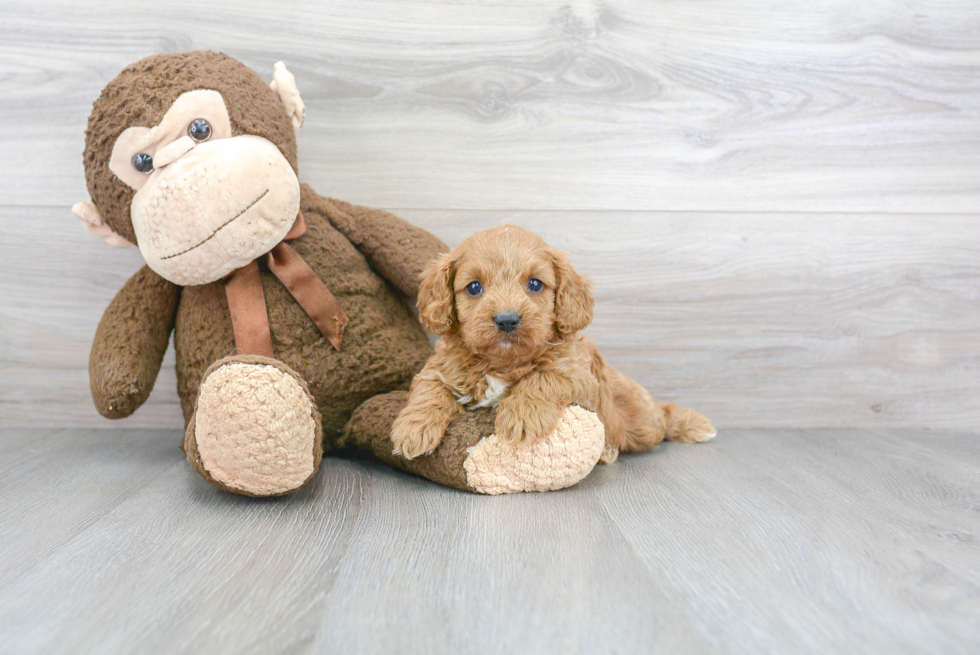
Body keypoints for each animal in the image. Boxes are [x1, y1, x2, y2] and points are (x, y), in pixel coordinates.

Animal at [390, 226, 720, 462]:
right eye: (473, 287)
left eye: (535, 284)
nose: (507, 320)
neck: (503, 362)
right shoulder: (440, 368)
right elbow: (428, 389)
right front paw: (412, 429)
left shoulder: (578, 375)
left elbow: (542, 377)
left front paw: (521, 416)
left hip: (639, 420)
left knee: (662, 418)